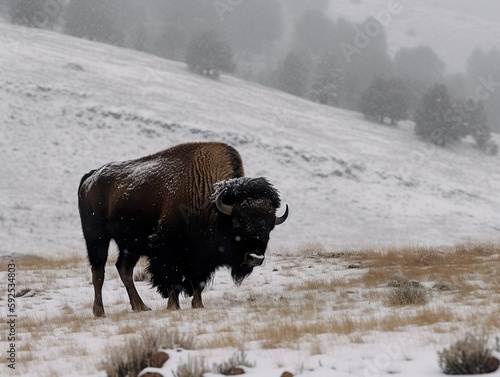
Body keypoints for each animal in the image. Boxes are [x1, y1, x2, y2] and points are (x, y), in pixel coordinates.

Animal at [77, 142, 290, 316]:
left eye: (269, 226)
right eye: (237, 221)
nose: (255, 258)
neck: (211, 204)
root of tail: (90, 178)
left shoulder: (202, 258)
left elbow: (198, 282)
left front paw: (198, 304)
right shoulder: (169, 251)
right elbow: (173, 279)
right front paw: (174, 306)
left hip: (130, 245)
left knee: (124, 269)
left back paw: (140, 306)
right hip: (97, 238)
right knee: (99, 271)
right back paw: (100, 312)